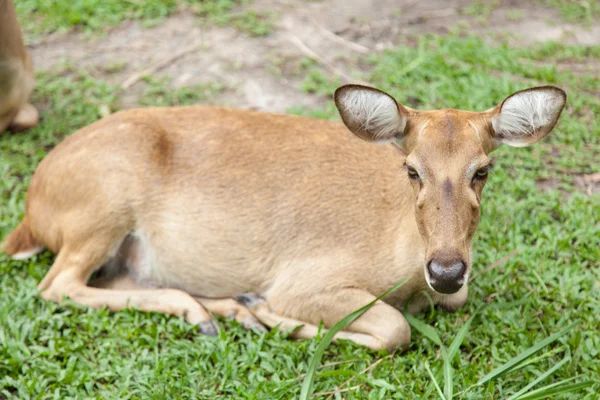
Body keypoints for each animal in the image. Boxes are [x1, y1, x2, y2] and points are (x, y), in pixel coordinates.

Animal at [1, 79, 568, 348]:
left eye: (482, 170)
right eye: (411, 169)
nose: (447, 269)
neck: (401, 258)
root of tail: (33, 208)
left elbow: (448, 304)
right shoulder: (308, 277)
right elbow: (393, 329)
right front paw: (266, 311)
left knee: (114, 280)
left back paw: (215, 313)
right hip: (101, 204)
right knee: (58, 284)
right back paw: (233, 310)